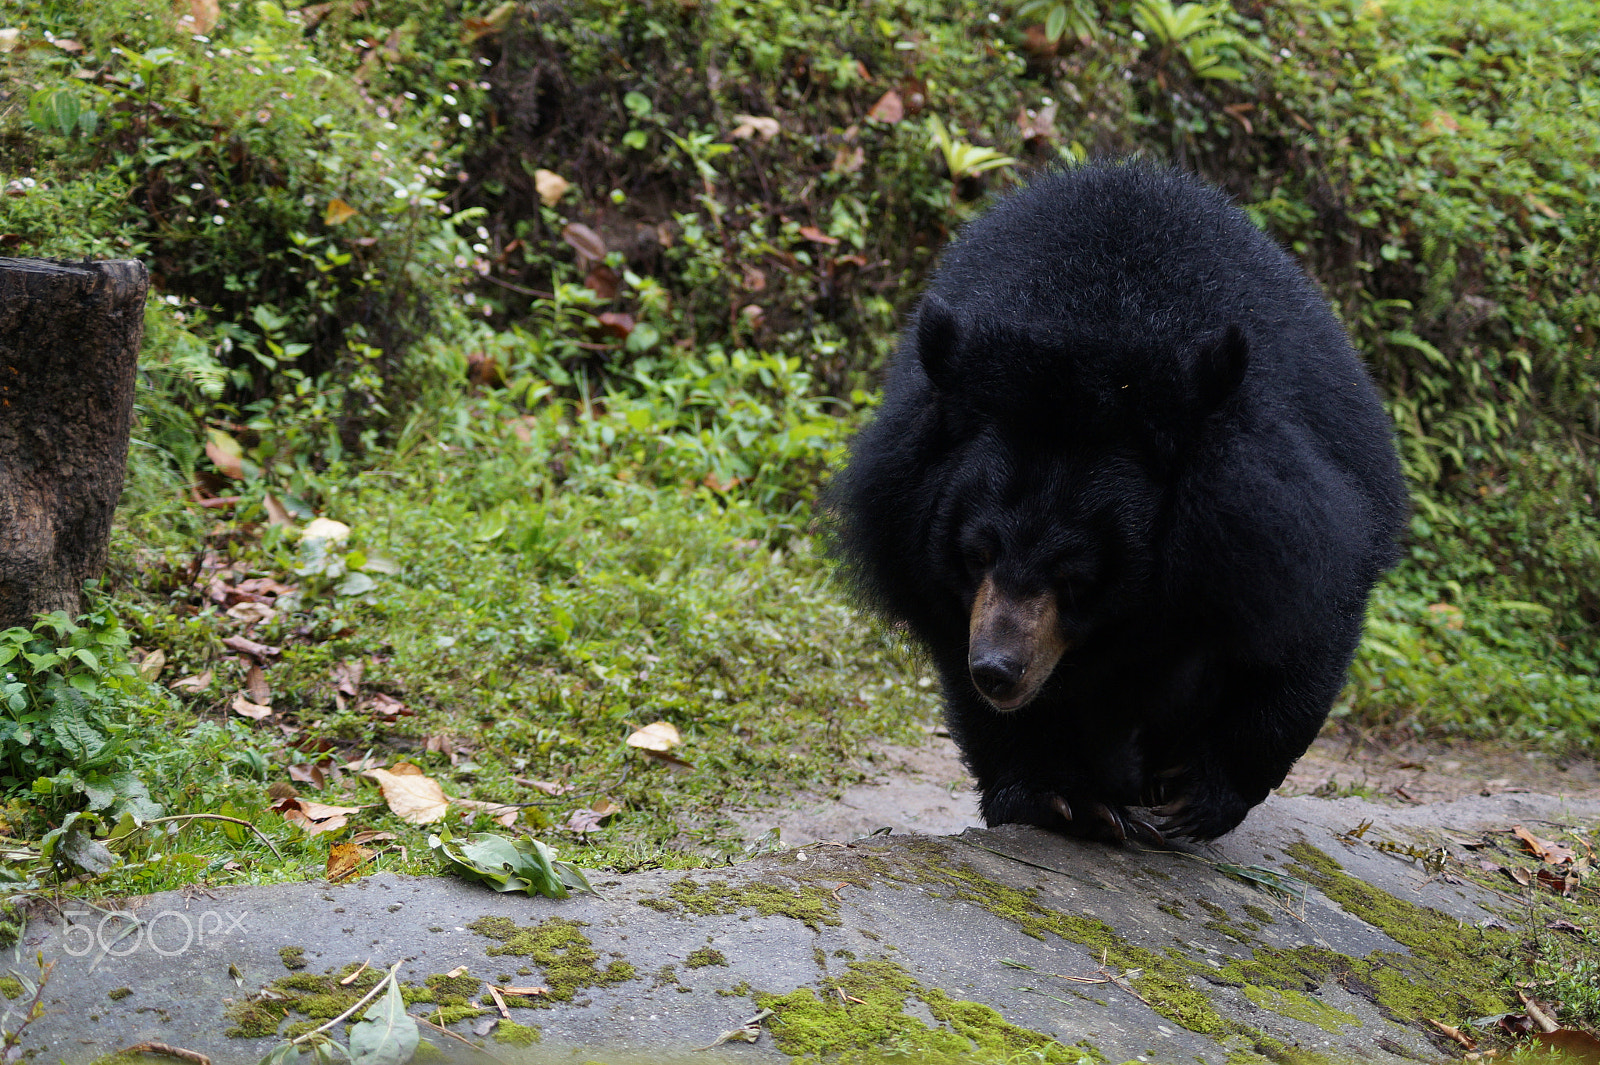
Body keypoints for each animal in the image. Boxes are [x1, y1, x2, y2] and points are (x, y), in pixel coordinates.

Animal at [832, 163, 1408, 837]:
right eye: (977, 552)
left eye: (1077, 574)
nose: (997, 672)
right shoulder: (911, 515)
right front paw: (1058, 796)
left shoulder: (1272, 517)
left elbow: (1297, 635)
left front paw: (1195, 796)